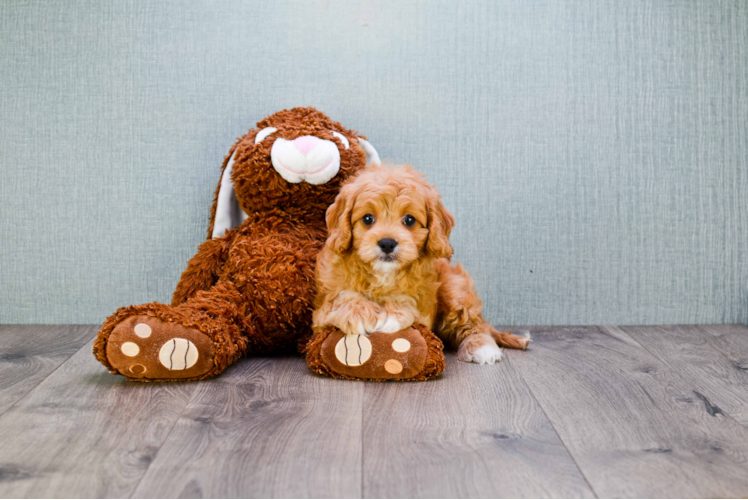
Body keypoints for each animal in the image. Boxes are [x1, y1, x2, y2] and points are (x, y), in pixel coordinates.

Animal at [312, 164, 528, 364]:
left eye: (409, 220)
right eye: (367, 218)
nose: (387, 243)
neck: (383, 274)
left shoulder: (424, 312)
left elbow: (407, 301)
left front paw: (392, 313)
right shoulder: (320, 314)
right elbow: (342, 299)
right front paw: (358, 312)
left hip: (454, 288)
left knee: (474, 323)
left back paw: (482, 347)